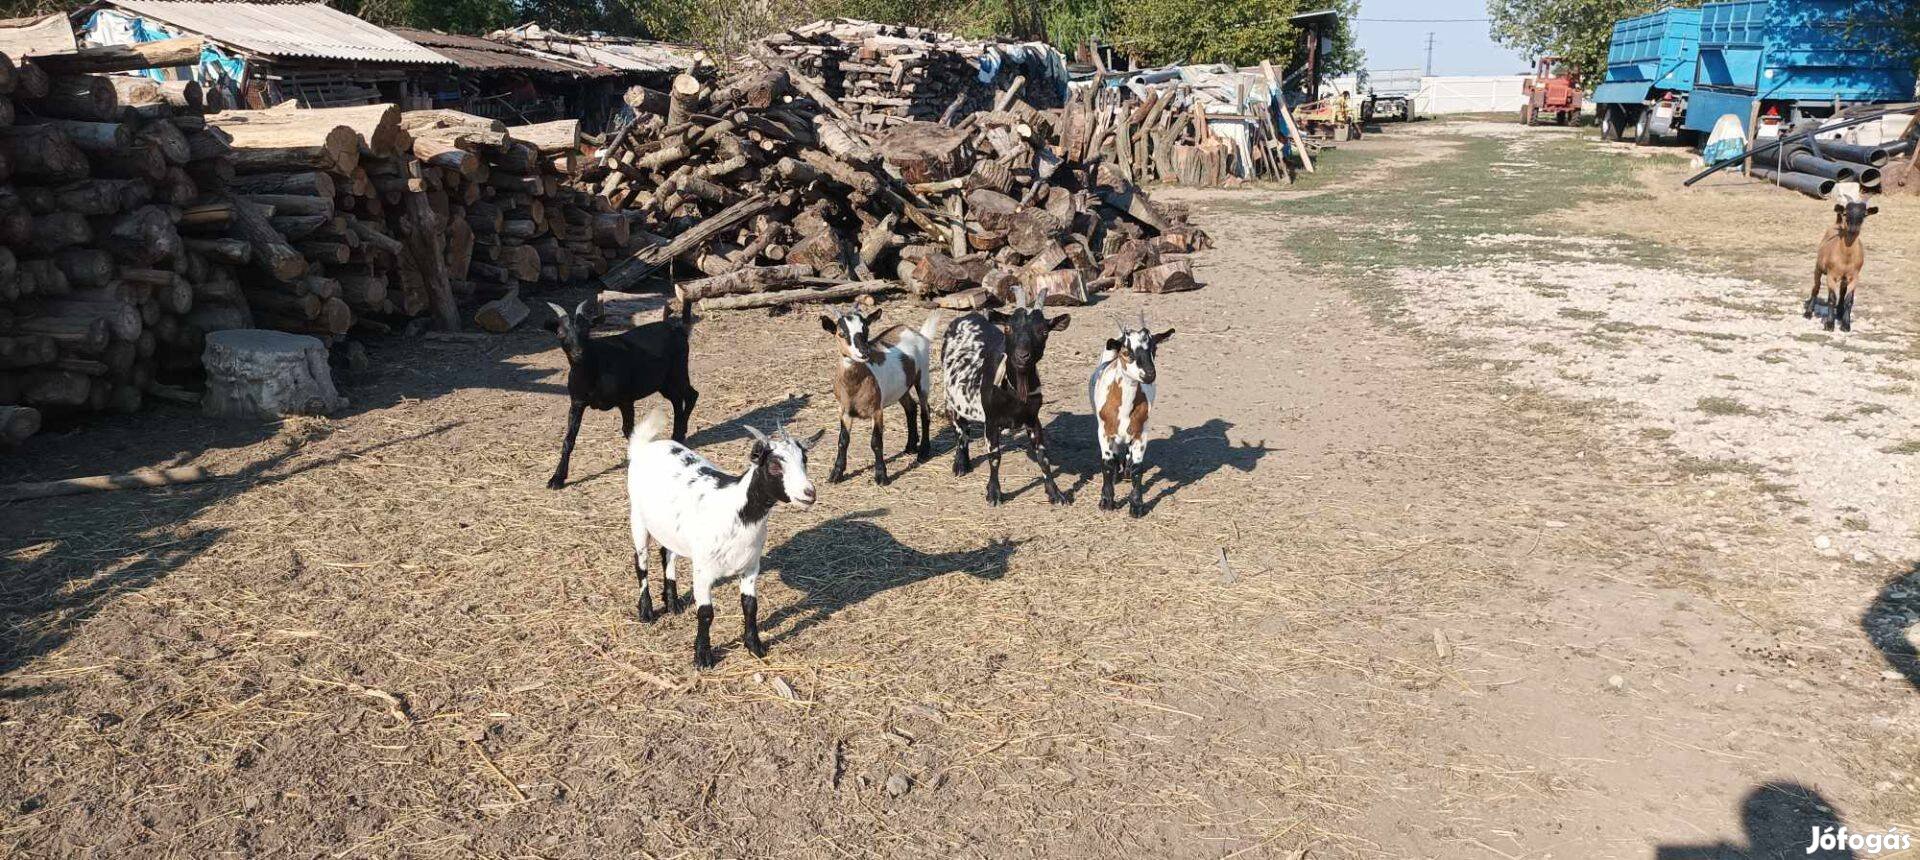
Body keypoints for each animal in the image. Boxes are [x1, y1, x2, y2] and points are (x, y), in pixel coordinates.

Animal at [545, 297, 702, 491]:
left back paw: (680, 434)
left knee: (691, 395)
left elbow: (629, 431)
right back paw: (677, 436)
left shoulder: (626, 399)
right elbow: (569, 439)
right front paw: (557, 478)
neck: (594, 368)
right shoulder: (577, 402)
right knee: (677, 400)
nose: (578, 354)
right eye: (560, 333)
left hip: (677, 372)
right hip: (663, 382)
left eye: (587, 331)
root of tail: (679, 329)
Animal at [622, 406, 817, 668]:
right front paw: (703, 656)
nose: (809, 493)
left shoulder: (750, 566)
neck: (736, 510)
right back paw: (646, 611)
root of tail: (646, 445)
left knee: (667, 554)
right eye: (775, 466)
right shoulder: (703, 571)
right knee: (641, 562)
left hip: (669, 527)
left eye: (804, 461)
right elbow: (706, 613)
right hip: (638, 518)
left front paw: (754, 646)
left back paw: (673, 603)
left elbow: (750, 606)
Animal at [940, 286, 1075, 506]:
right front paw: (994, 493)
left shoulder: (1032, 419)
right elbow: (994, 457)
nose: (1022, 356)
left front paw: (1056, 493)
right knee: (960, 429)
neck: (1015, 392)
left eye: (1044, 331)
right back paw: (961, 464)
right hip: (950, 398)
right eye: (1008, 328)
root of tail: (967, 316)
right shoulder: (991, 420)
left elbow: (1043, 457)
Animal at [1090, 316, 1175, 514]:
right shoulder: (1103, 432)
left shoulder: (1141, 433)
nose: (1149, 374)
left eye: (1154, 349)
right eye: (1127, 351)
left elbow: (1138, 467)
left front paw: (1136, 505)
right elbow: (1106, 464)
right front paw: (1106, 501)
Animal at [1804, 195, 1881, 332]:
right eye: (1846, 213)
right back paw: (1808, 312)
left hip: (1844, 277)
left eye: (1864, 215)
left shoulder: (1854, 277)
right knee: (1816, 287)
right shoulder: (1831, 275)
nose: (1853, 228)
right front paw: (1829, 324)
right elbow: (1831, 299)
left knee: (1842, 291)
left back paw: (1839, 313)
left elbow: (1849, 300)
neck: (1846, 257)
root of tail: (1837, 223)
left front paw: (1846, 324)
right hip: (1818, 268)